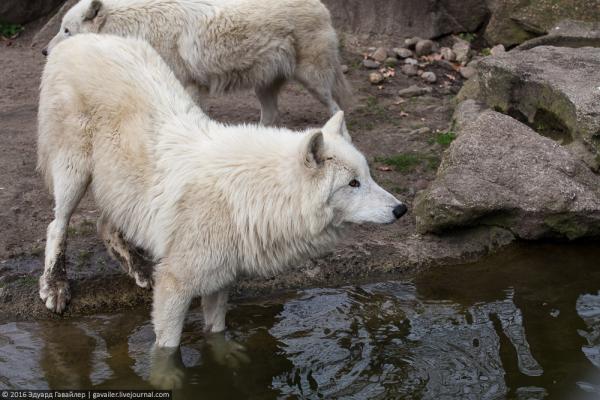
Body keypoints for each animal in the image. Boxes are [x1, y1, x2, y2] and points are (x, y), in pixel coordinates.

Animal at [38, 33, 408, 346]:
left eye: (368, 176)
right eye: (352, 183)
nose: (401, 209)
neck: (253, 195)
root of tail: (78, 38)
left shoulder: (219, 281)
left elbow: (216, 334)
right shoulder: (175, 286)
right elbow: (166, 351)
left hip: (119, 187)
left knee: (104, 224)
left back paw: (140, 270)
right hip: (74, 173)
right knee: (57, 224)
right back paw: (55, 286)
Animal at [44, 0, 354, 134]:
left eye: (66, 30)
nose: (44, 51)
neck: (135, 28)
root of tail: (322, 6)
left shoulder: (188, 85)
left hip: (314, 81)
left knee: (336, 107)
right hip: (264, 86)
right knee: (271, 115)